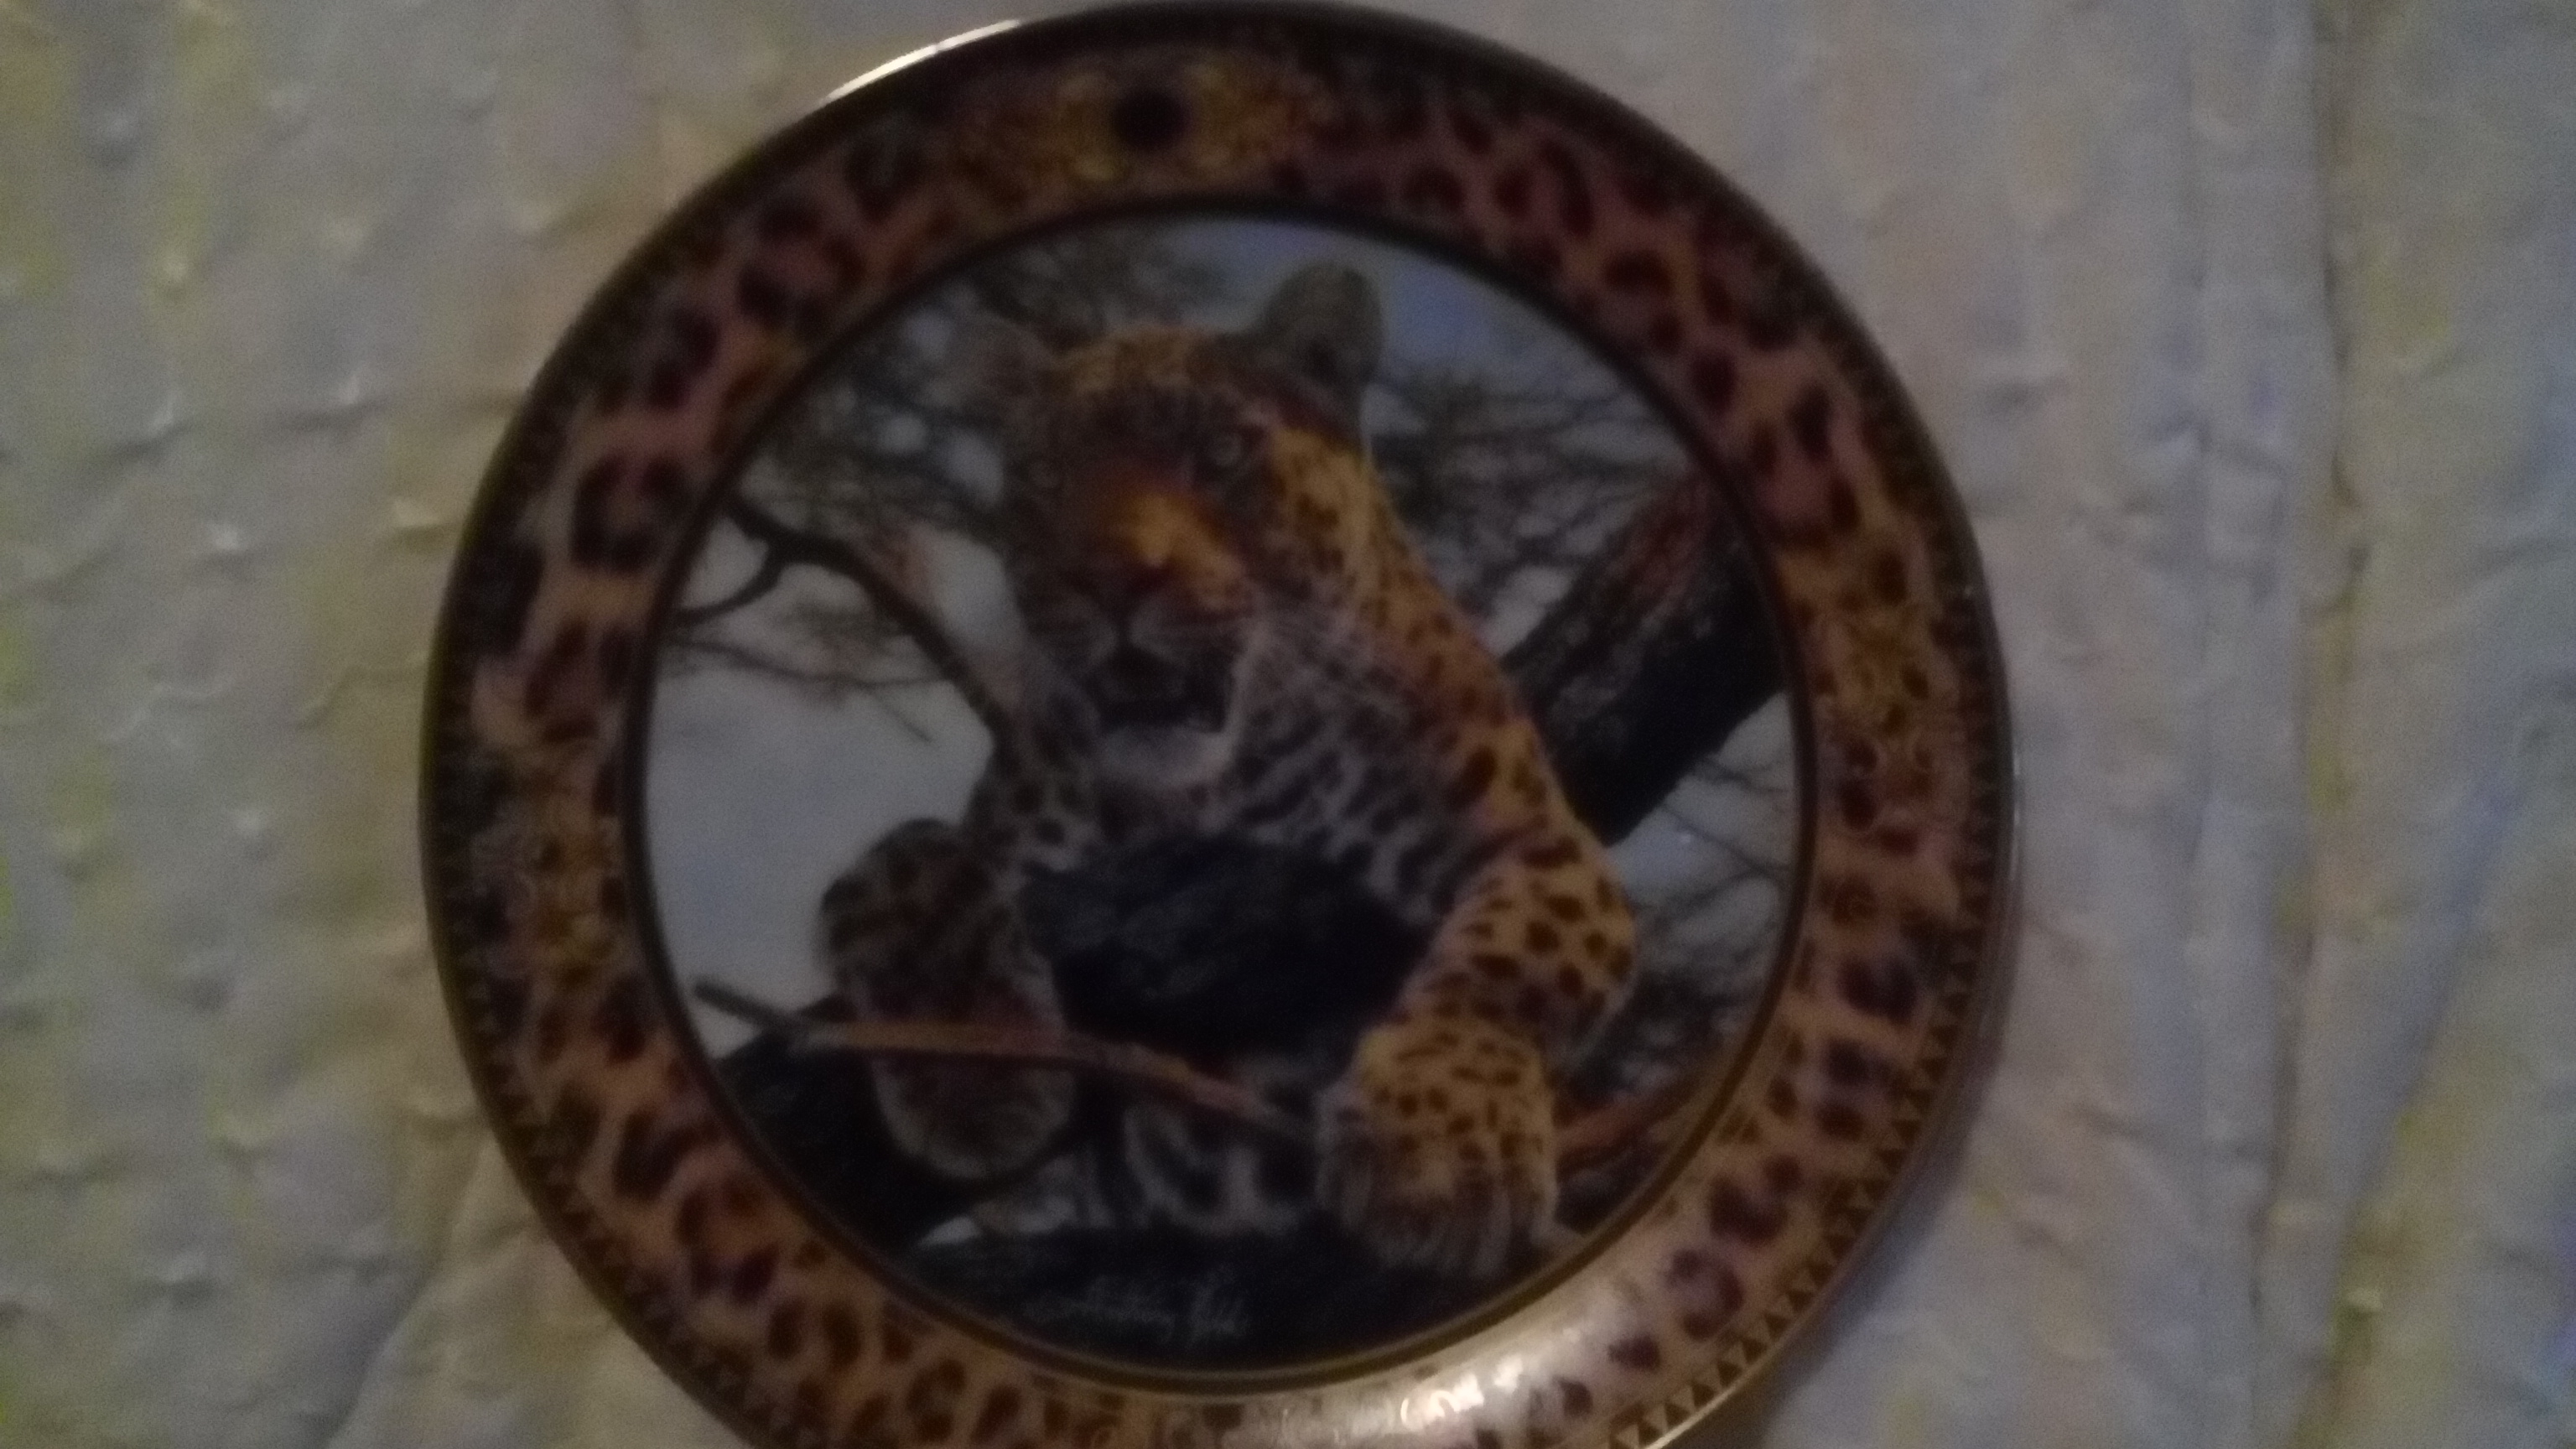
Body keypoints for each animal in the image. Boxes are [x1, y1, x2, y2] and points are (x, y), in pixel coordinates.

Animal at [818, 263, 1638, 1280]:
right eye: (1048, 477)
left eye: (1218, 452)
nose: (1115, 580)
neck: (1211, 785)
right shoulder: (1007, 845)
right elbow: (907, 857)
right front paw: (973, 1070)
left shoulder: (1535, 842)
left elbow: (1506, 963)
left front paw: (1441, 1152)